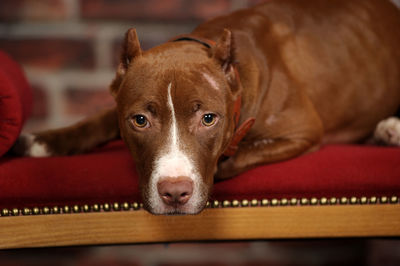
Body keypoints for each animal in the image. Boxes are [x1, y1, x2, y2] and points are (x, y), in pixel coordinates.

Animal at [12, 0, 400, 214]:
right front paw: (44, 142)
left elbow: (240, 155)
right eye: (140, 120)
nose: (174, 193)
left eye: (208, 119)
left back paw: (390, 129)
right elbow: (98, 120)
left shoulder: (302, 132)